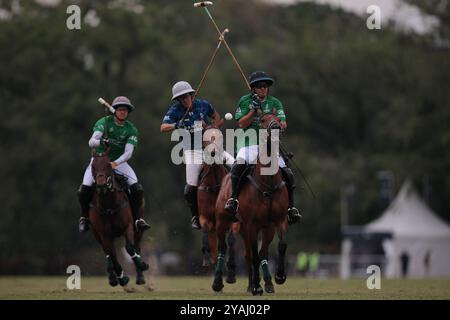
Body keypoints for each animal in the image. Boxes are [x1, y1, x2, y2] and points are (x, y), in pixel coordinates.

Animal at [89, 151, 149, 288]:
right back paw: (113, 277)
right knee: (108, 252)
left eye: (108, 165)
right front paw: (121, 278)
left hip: (138, 229)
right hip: (97, 234)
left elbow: (130, 248)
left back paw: (140, 276)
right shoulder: (104, 234)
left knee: (137, 246)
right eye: (93, 166)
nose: (101, 185)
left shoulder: (128, 226)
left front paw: (142, 265)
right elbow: (111, 254)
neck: (109, 205)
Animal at [198, 125, 239, 282]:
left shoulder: (234, 221)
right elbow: (204, 231)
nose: (213, 153)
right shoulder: (205, 218)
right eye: (205, 138)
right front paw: (206, 259)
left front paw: (231, 270)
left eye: (220, 137)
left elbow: (231, 240)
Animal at [212, 112, 288, 296]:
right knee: (223, 249)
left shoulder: (277, 221)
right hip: (223, 221)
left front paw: (278, 277)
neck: (268, 183)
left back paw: (262, 283)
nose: (276, 127)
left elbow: (278, 247)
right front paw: (257, 287)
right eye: (262, 120)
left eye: (279, 118)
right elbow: (255, 254)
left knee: (254, 253)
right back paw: (218, 283)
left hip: (248, 228)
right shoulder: (252, 224)